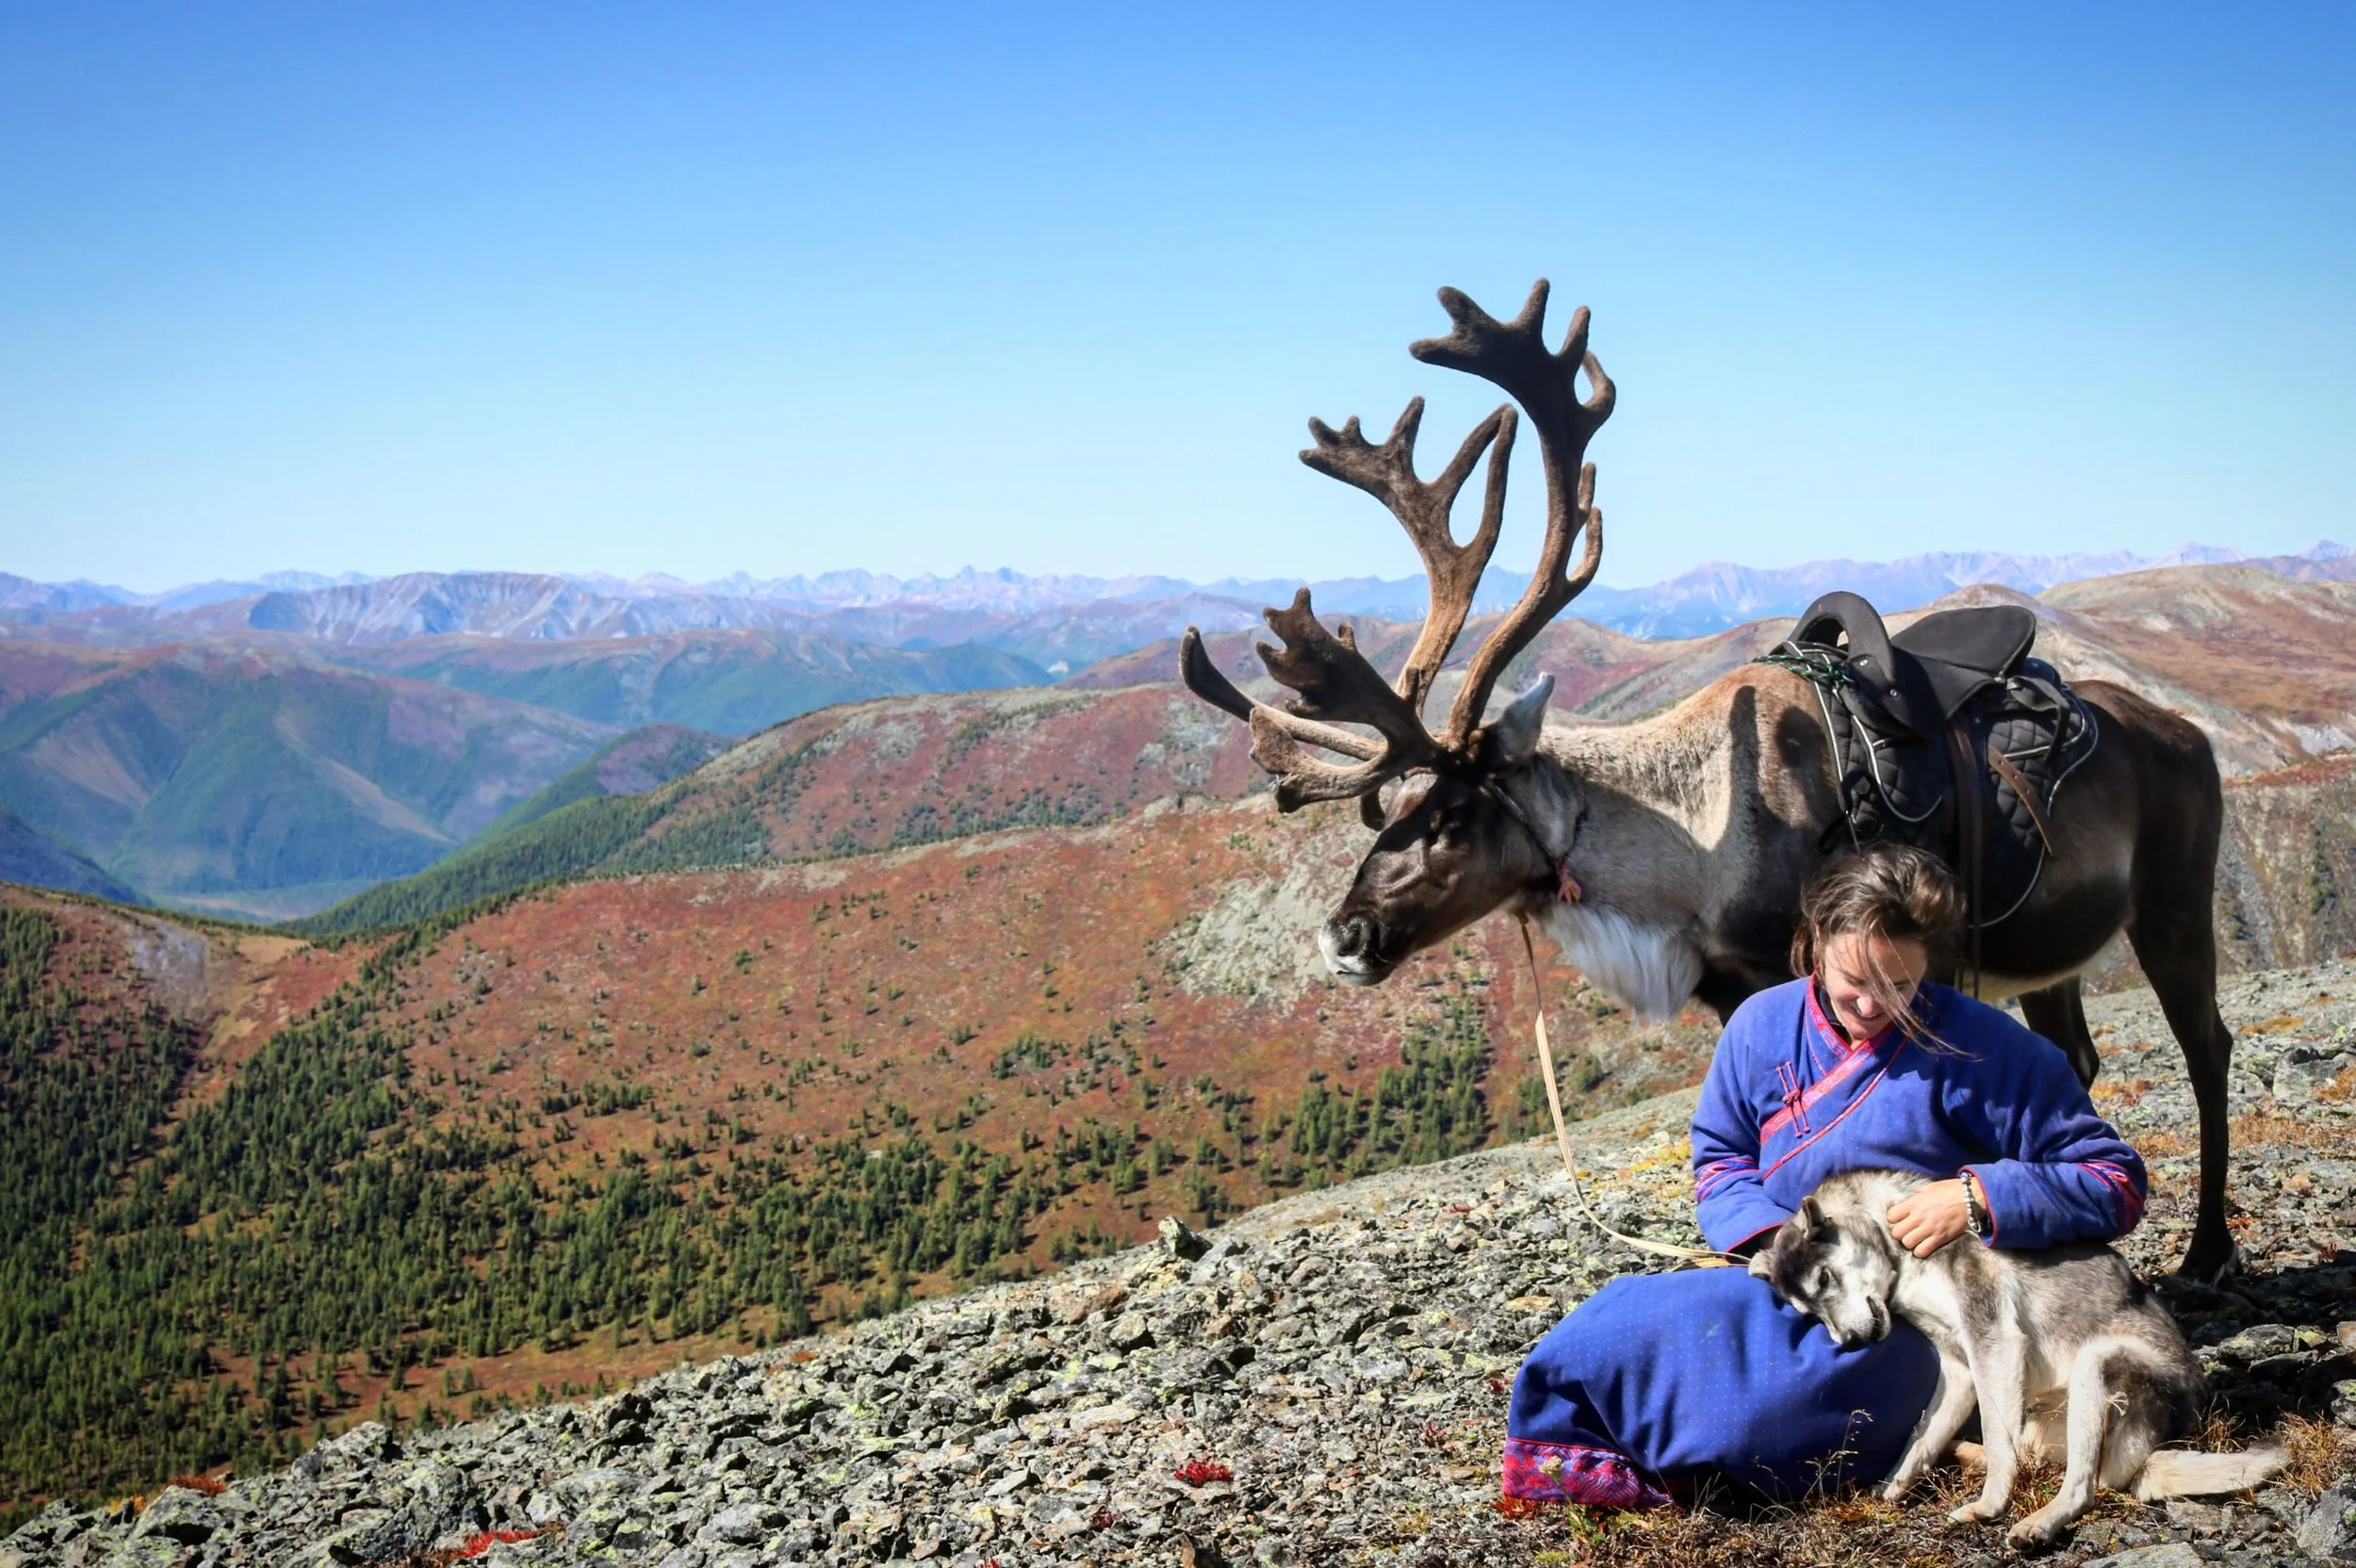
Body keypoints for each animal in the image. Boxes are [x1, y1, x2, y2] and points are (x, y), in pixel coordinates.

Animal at [1179, 280, 2238, 1280]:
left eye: (1446, 814)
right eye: (1384, 810)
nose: (1341, 936)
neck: (1689, 845)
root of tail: (2186, 731)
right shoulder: (1731, 992)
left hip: (2176, 903)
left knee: (2207, 1043)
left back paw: (2207, 1250)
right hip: (2044, 948)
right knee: (2075, 1055)